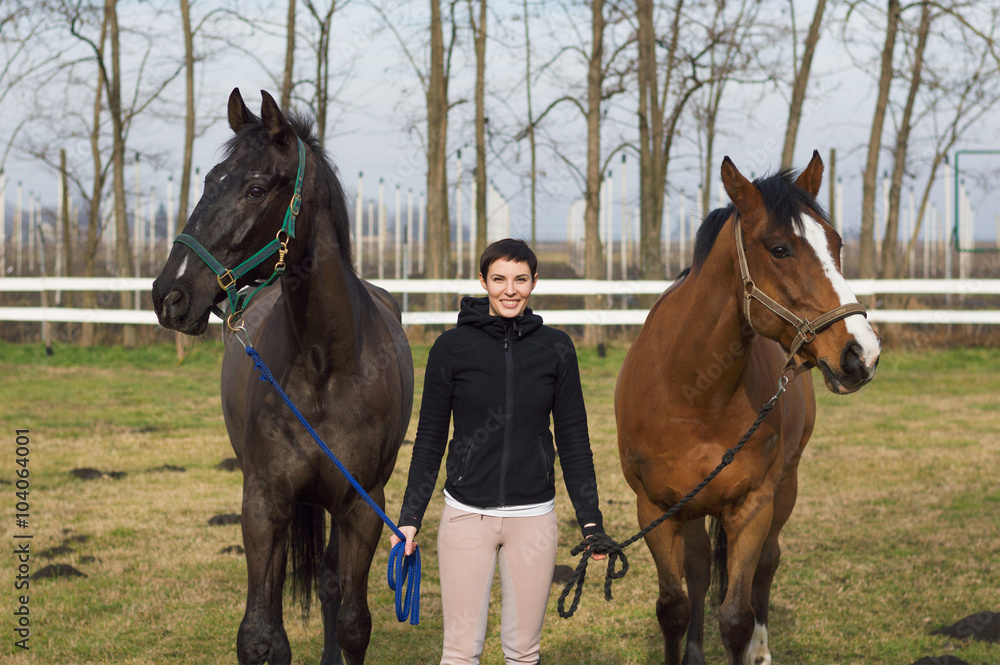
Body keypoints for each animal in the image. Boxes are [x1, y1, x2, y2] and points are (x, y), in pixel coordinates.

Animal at [149, 89, 414, 664]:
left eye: (255, 187)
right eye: (209, 179)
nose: (169, 294)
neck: (325, 365)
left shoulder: (363, 506)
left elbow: (354, 622)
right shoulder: (265, 503)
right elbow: (260, 635)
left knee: (332, 584)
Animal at [612, 152, 880, 664]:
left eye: (836, 243)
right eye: (779, 248)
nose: (862, 353)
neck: (693, 393)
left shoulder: (752, 505)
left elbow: (736, 616)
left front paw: (746, 642)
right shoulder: (655, 507)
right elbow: (673, 607)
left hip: (786, 485)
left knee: (767, 565)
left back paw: (761, 649)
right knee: (699, 569)